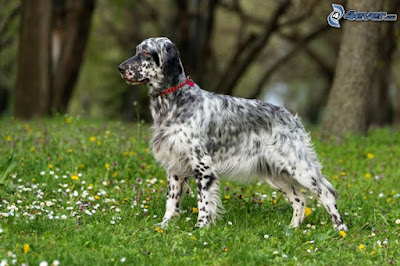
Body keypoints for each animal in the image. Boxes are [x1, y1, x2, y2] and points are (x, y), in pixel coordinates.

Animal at [118, 37, 346, 231]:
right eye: (137, 50)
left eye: (146, 52)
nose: (120, 68)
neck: (176, 102)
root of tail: (292, 117)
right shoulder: (174, 166)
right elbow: (171, 201)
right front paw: (164, 225)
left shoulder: (203, 166)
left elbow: (203, 202)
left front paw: (201, 228)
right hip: (275, 173)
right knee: (300, 199)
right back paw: (293, 228)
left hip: (299, 168)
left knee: (326, 193)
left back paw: (340, 228)